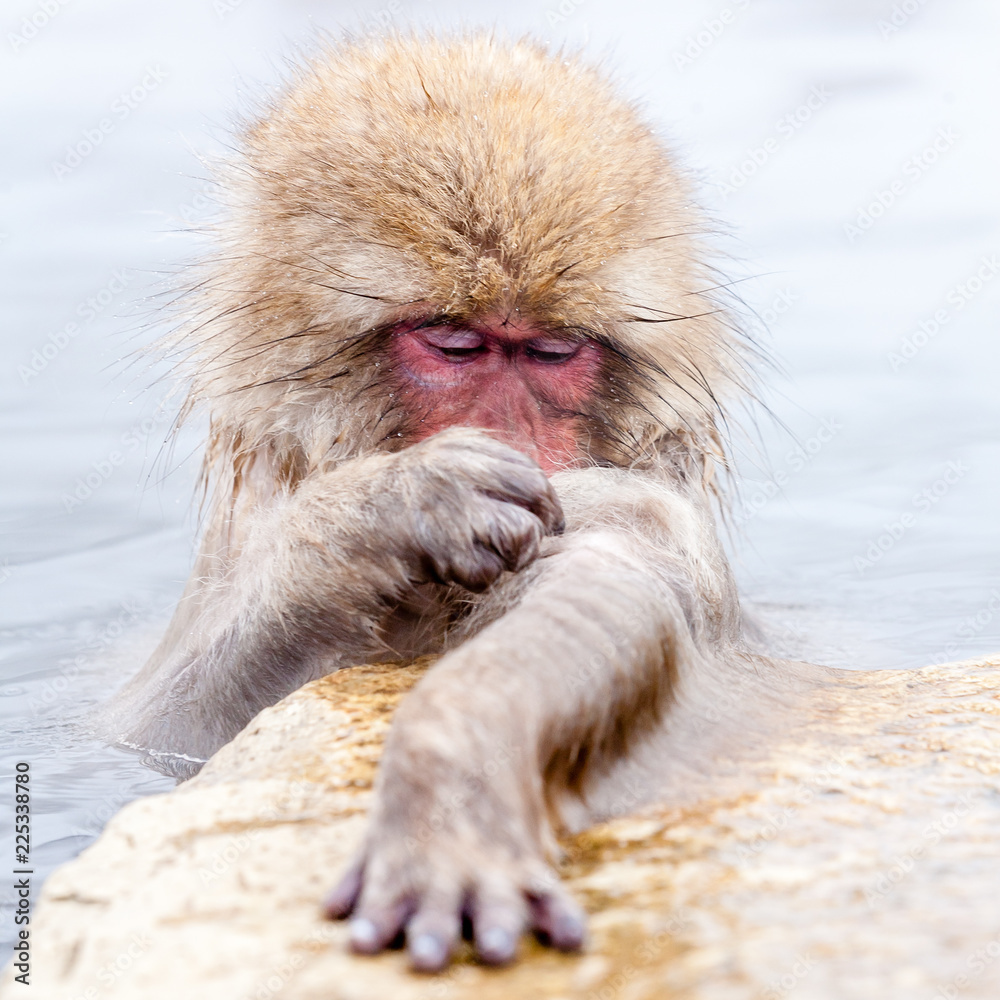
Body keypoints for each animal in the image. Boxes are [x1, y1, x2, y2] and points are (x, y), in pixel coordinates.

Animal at [103, 32, 792, 972]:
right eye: (454, 343)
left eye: (552, 351)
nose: (512, 440)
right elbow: (163, 723)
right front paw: (393, 507)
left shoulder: (636, 510)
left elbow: (593, 600)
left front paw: (450, 775)